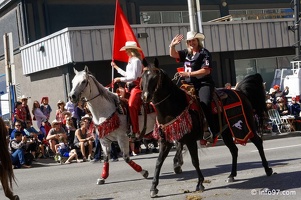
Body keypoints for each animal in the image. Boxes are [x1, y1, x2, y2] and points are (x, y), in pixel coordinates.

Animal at [141, 58, 272, 198]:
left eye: (155, 77)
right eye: (143, 77)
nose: (145, 97)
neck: (175, 106)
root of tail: (240, 92)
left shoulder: (190, 140)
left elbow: (195, 161)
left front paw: (200, 183)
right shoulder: (166, 141)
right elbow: (158, 162)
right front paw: (153, 187)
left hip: (246, 125)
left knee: (258, 142)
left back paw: (267, 169)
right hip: (226, 132)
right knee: (234, 150)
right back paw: (232, 175)